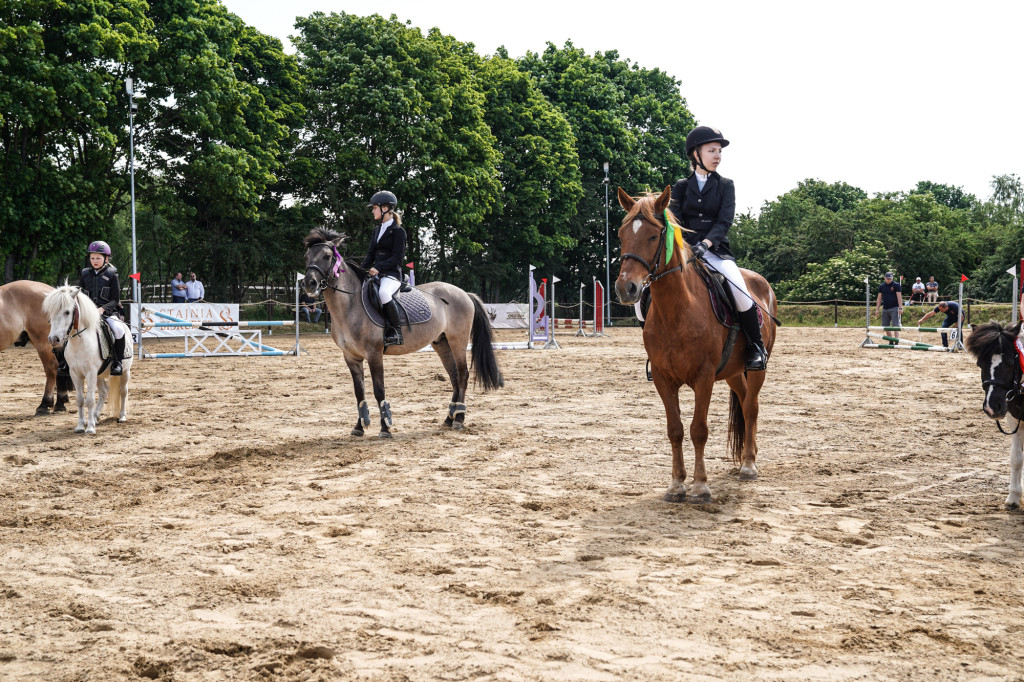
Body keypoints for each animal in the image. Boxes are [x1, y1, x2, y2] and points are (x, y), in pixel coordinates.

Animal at [42, 282, 132, 432]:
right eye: (50, 312)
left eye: (67, 312)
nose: (53, 339)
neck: (80, 343)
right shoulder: (75, 373)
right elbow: (80, 400)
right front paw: (80, 426)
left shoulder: (90, 372)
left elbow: (89, 400)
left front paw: (89, 428)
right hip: (100, 375)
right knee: (103, 392)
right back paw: (95, 417)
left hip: (125, 371)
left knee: (123, 391)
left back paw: (122, 416)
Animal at [301, 225, 505, 438]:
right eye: (307, 256)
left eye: (326, 256)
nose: (309, 284)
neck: (350, 305)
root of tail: (464, 293)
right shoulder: (351, 357)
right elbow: (359, 392)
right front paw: (359, 427)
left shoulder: (374, 354)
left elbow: (378, 390)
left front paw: (385, 428)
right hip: (442, 343)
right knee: (454, 376)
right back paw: (449, 418)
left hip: (458, 340)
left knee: (463, 375)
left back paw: (459, 419)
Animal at [614, 184, 774, 499]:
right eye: (621, 234)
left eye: (653, 236)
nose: (626, 288)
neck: (677, 310)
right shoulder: (663, 377)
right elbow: (674, 429)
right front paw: (676, 485)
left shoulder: (704, 377)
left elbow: (698, 429)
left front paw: (700, 486)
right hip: (732, 371)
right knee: (743, 399)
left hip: (756, 367)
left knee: (751, 407)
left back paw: (749, 464)